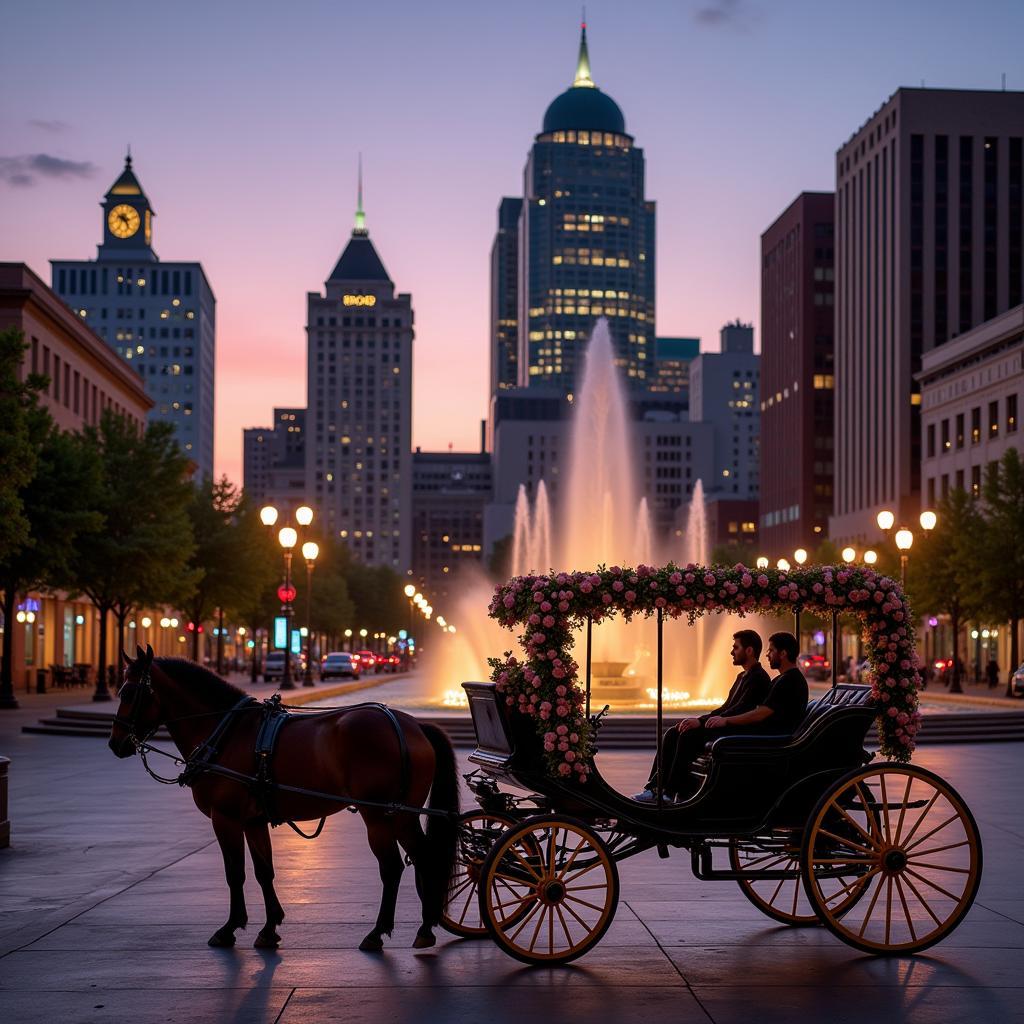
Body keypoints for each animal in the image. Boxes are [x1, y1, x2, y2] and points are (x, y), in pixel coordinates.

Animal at [108, 647, 456, 950]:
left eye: (129, 693)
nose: (115, 743)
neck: (226, 732)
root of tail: (414, 724)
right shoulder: (253, 821)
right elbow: (264, 872)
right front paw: (269, 927)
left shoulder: (225, 818)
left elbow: (235, 873)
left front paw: (229, 928)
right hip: (402, 815)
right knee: (425, 857)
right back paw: (426, 927)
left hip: (380, 816)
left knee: (393, 867)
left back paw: (379, 932)